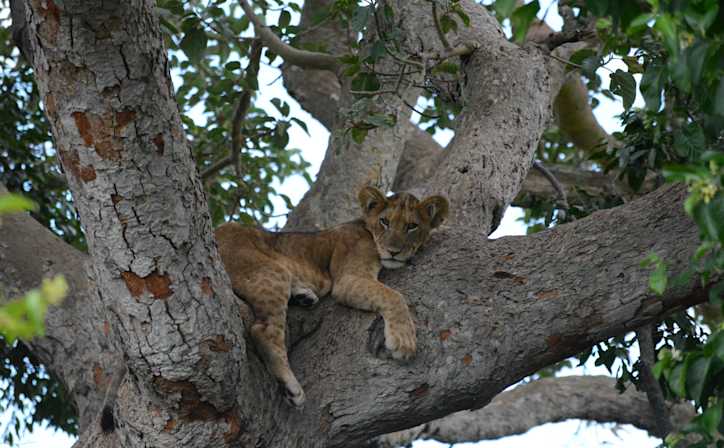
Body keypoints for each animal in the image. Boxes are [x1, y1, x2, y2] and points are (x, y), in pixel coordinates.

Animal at [214, 186, 449, 406]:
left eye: (412, 226)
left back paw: (303, 295)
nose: (393, 252)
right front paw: (403, 342)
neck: (367, 230)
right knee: (263, 330)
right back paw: (290, 385)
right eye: (385, 221)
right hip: (270, 271)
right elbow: (394, 296)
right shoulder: (348, 279)